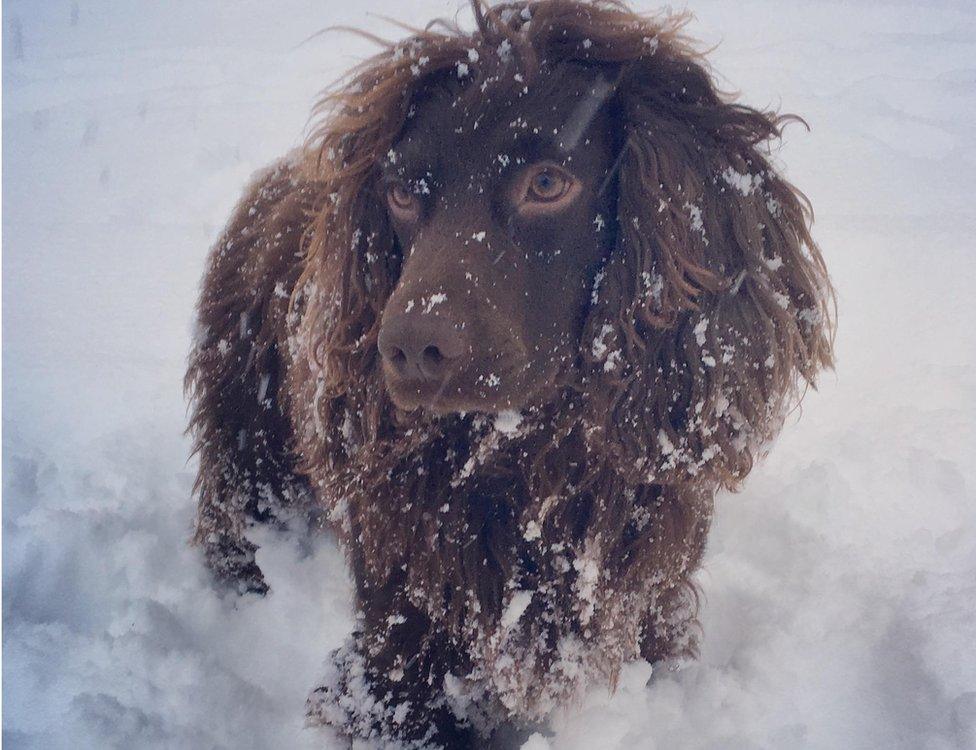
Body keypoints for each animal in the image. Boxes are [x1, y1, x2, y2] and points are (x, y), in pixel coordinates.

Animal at [187, 1, 836, 748]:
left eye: (547, 183)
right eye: (401, 193)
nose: (406, 348)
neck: (525, 459)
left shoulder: (646, 603)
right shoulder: (395, 658)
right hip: (251, 436)